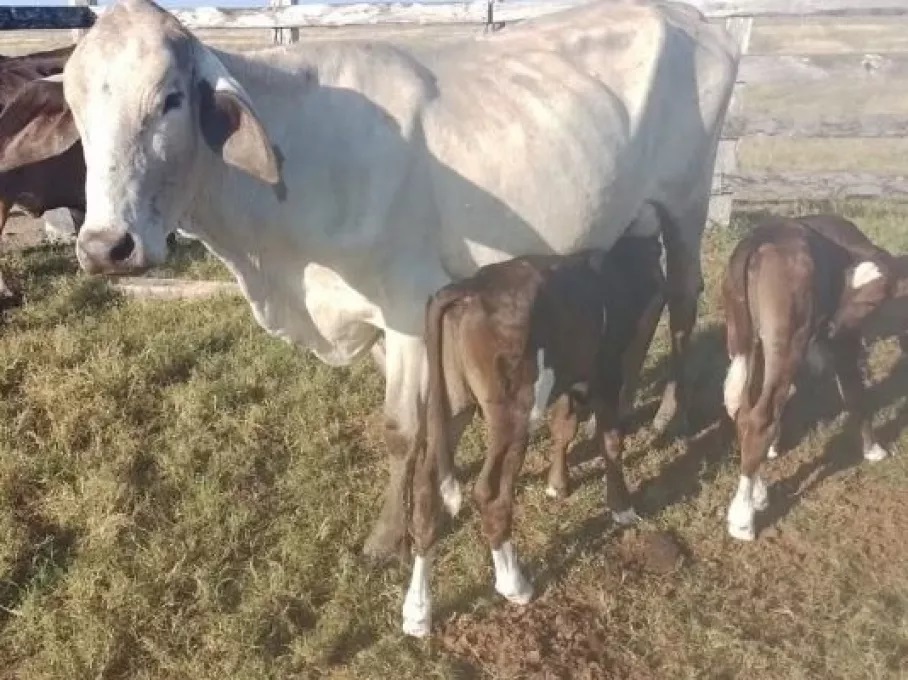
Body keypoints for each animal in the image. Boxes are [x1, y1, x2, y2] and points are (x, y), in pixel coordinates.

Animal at [406, 235, 668, 636]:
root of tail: (469, 287)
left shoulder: (570, 376)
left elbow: (564, 425)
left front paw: (557, 485)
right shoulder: (606, 371)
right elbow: (611, 441)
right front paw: (622, 507)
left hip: (450, 403)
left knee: (425, 488)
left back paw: (417, 611)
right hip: (516, 409)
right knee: (490, 492)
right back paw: (514, 583)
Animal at [720, 214, 904, 540]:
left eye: (873, 297)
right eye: (851, 289)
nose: (831, 327)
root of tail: (764, 234)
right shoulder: (845, 343)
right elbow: (856, 395)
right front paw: (874, 450)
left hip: (744, 334)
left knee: (742, 406)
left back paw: (758, 492)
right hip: (789, 335)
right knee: (760, 416)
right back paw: (743, 518)